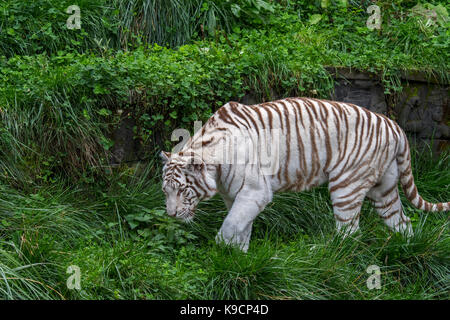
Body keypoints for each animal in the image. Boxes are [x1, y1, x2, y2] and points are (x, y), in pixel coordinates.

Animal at [160, 96, 448, 251]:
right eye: (165, 191)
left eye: (183, 190)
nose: (171, 215)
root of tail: (395, 126)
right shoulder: (235, 196)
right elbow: (241, 226)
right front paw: (238, 256)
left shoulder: (255, 192)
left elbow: (231, 225)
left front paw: (221, 251)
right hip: (383, 189)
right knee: (402, 221)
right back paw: (409, 249)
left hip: (346, 186)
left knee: (349, 232)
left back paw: (325, 254)